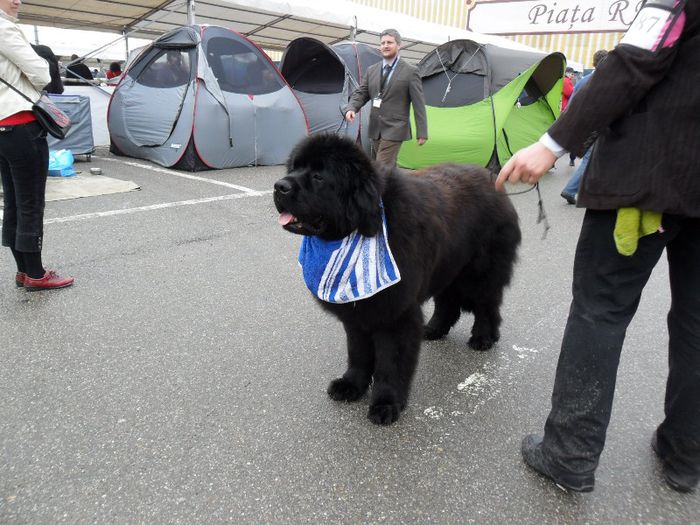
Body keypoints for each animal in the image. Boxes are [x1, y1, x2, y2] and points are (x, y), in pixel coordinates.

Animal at [274, 133, 520, 424]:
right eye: (294, 168)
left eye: (318, 176)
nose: (279, 186)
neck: (361, 226)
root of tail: (494, 180)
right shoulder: (358, 314)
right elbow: (357, 353)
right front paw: (351, 385)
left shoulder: (395, 314)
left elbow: (391, 364)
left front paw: (385, 403)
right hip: (446, 267)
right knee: (448, 303)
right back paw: (433, 329)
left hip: (479, 273)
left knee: (486, 306)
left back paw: (483, 338)